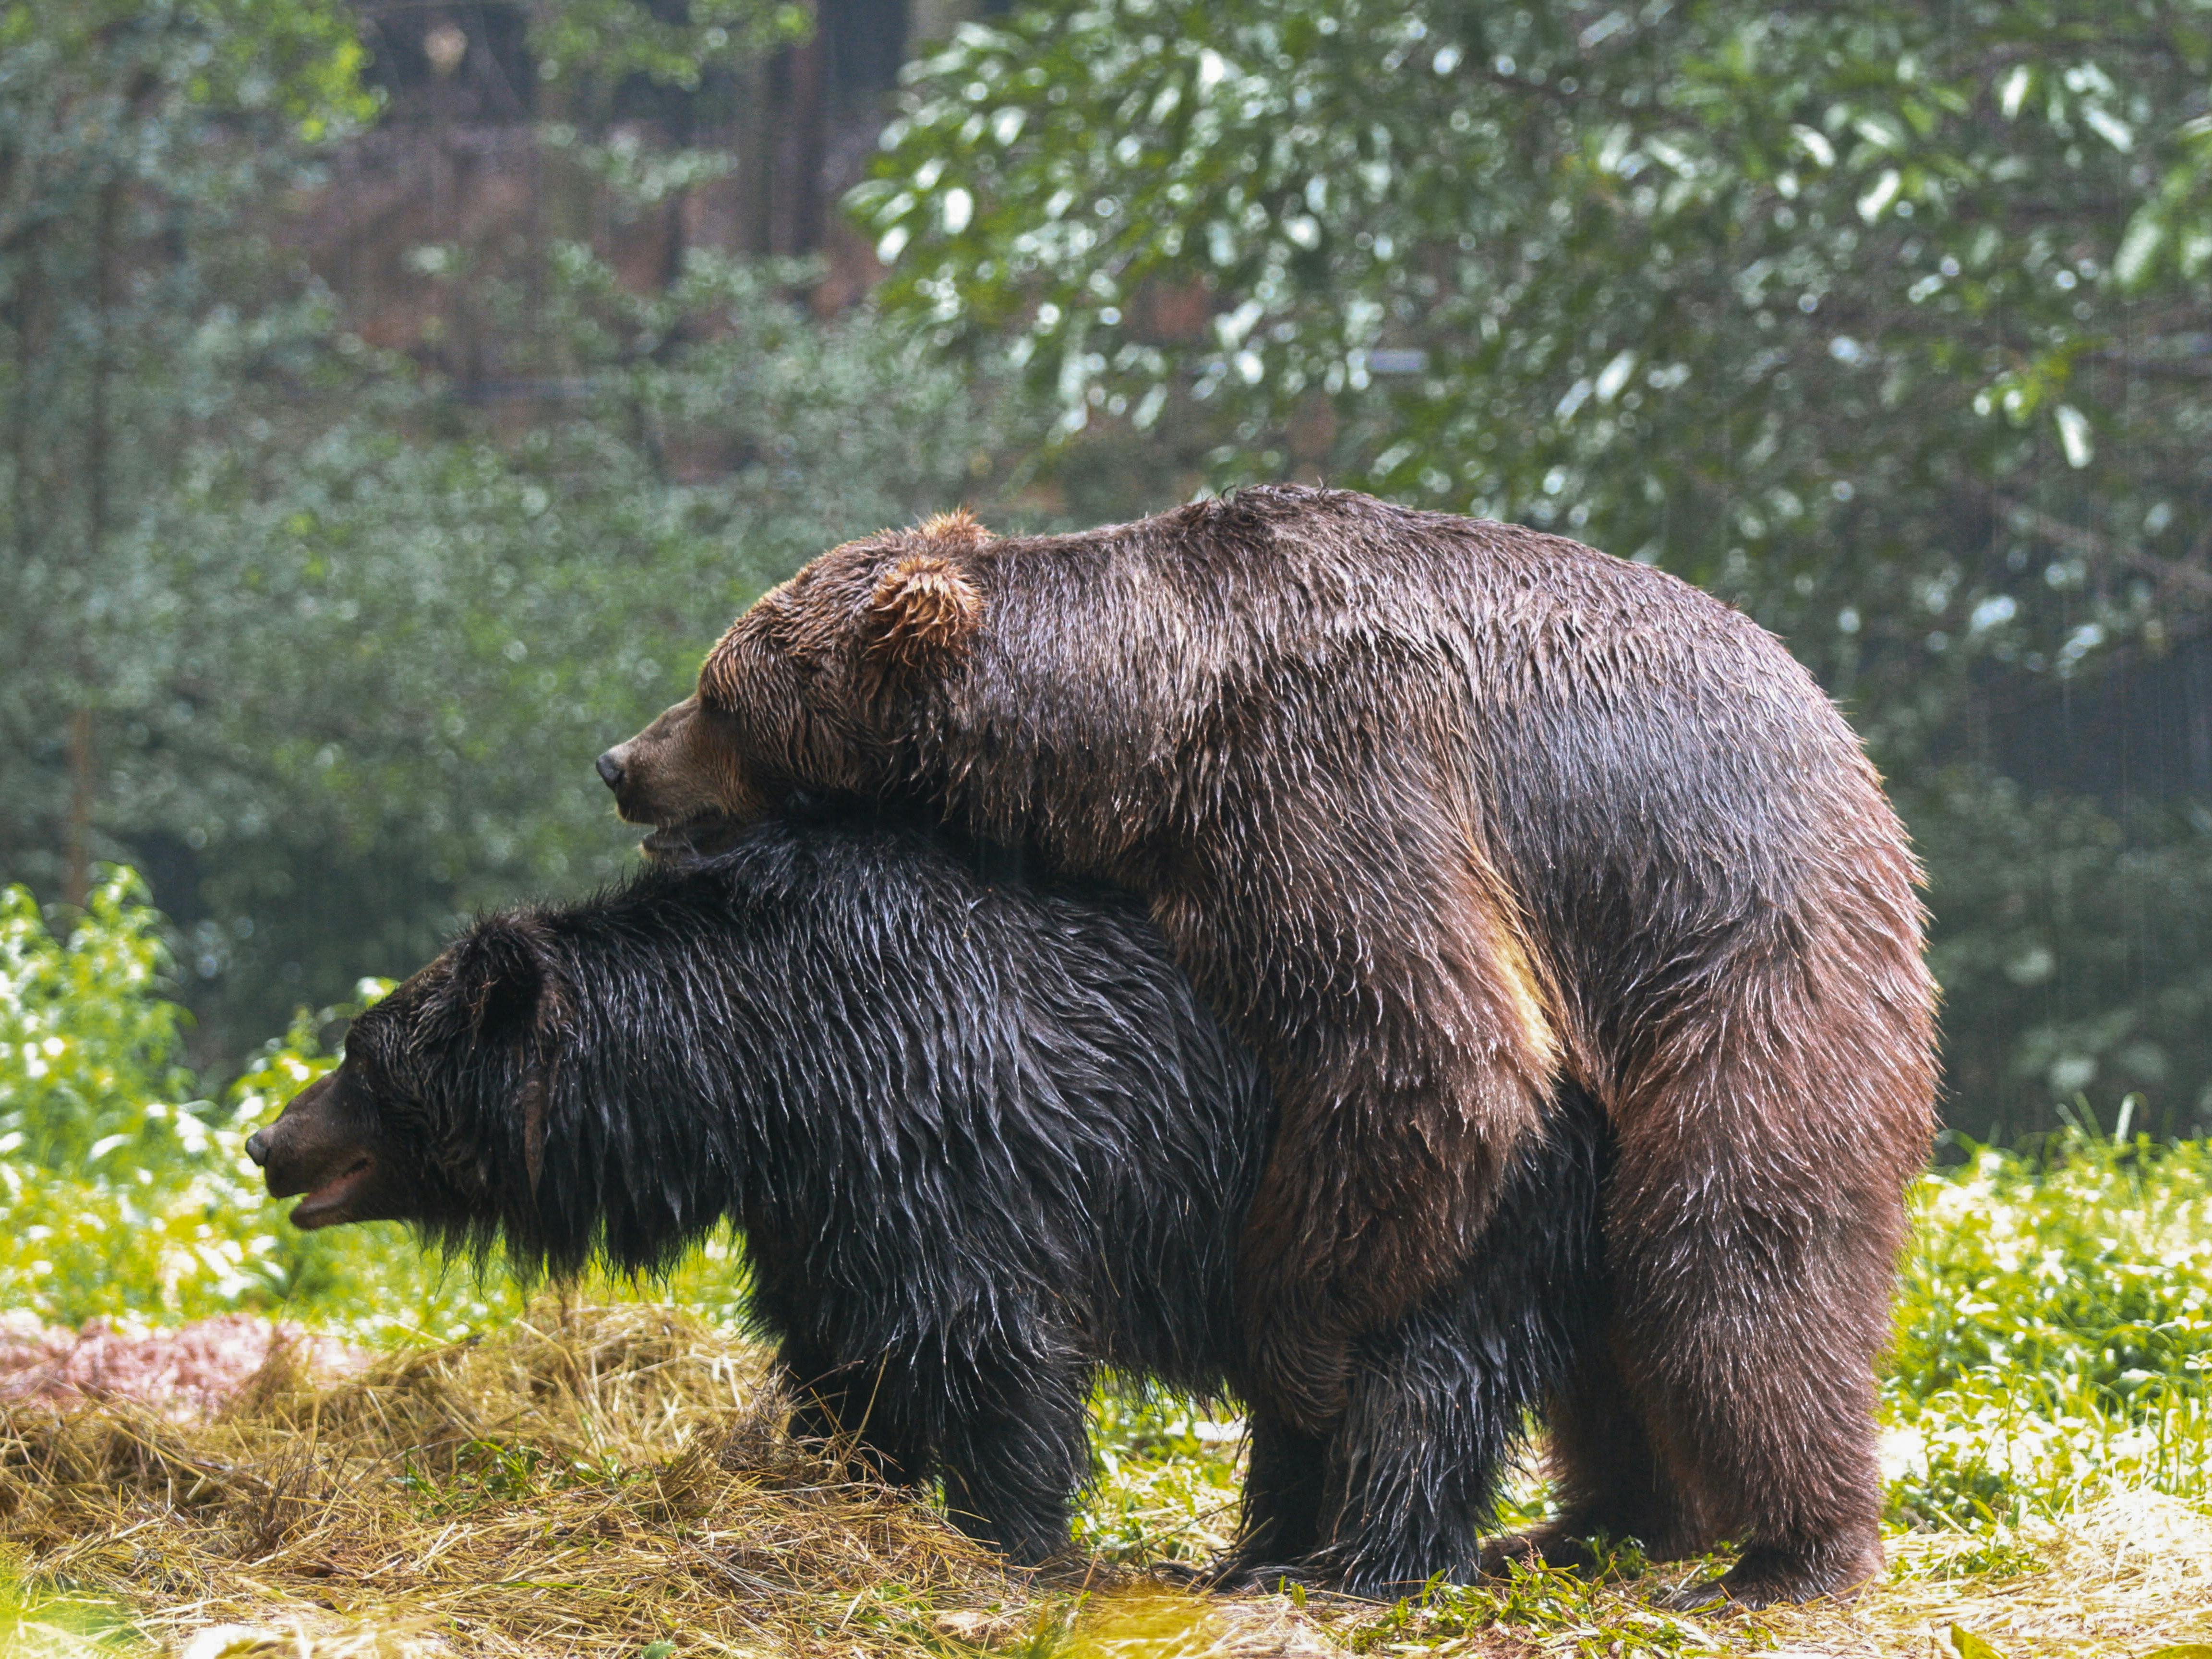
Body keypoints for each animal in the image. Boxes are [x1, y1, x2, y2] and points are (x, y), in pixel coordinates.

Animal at [245, 811, 1611, 1593]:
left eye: (364, 1059)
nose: (266, 1140)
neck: (758, 1071)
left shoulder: (941, 1128)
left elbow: (979, 1337)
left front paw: (1008, 1533)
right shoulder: (816, 1201)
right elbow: (839, 1346)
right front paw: (845, 1478)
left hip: (1424, 1198)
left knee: (1416, 1376)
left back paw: (1358, 1562)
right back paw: (1265, 1546)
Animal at [596, 484, 1940, 1607]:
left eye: (722, 692)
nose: (620, 763)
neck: (1145, 724)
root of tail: (1866, 779)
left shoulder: (1329, 773)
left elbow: (1434, 1046)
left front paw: (1298, 1349)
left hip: (1739, 964)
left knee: (1731, 1266)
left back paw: (1788, 1551)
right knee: (1618, 1333)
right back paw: (1594, 1522)